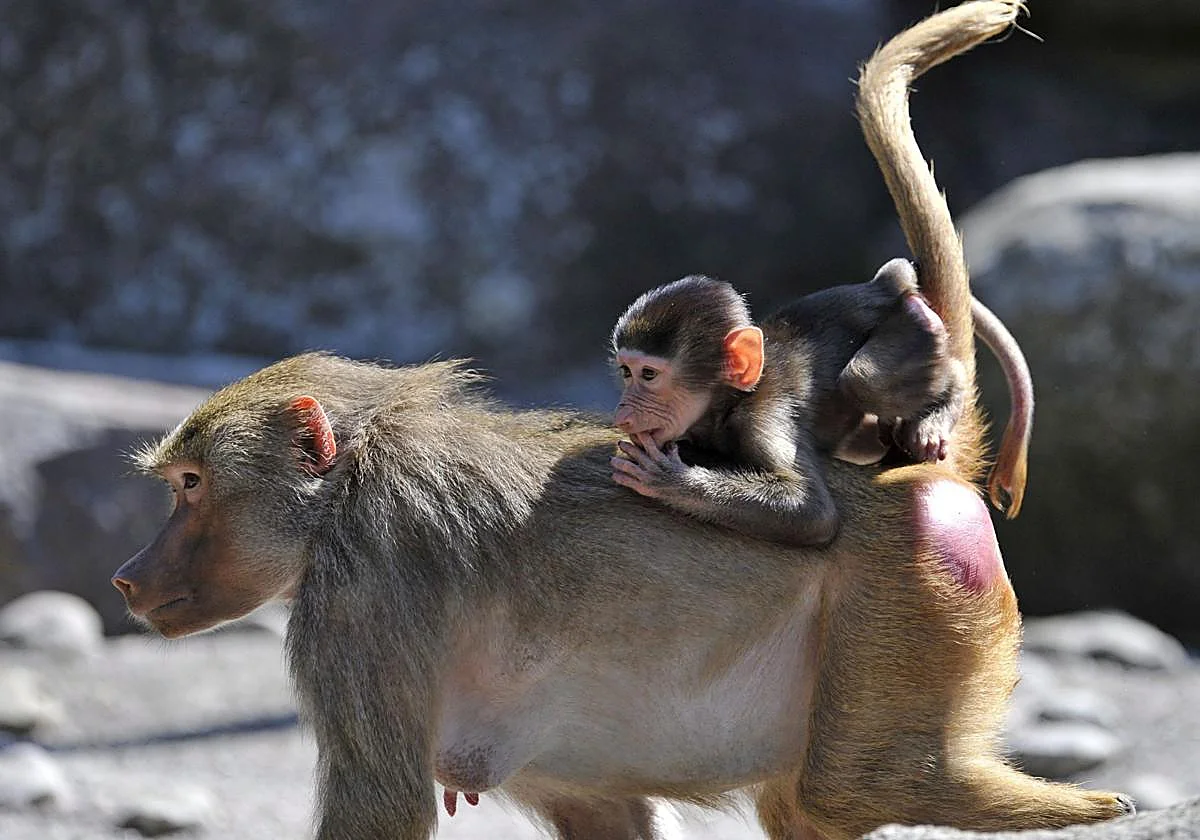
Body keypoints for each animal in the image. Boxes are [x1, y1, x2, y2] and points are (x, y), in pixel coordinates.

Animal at [111, 4, 1131, 839]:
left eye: (192, 486)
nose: (126, 578)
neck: (348, 484)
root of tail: (916, 462)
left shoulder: (358, 597)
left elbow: (381, 809)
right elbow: (603, 811)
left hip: (906, 591)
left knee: (859, 786)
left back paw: (1081, 807)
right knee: (812, 804)